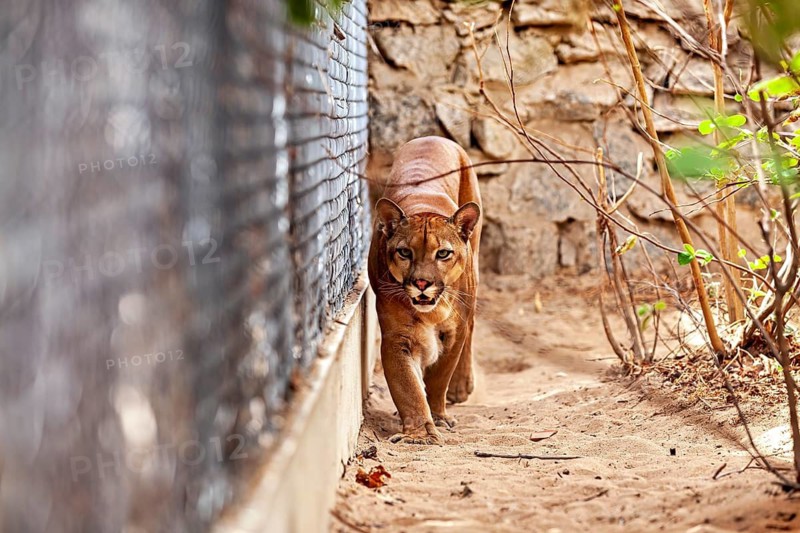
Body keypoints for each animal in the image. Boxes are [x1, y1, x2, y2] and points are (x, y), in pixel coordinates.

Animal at [368, 136, 482, 445]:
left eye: (443, 253)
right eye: (404, 252)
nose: (421, 283)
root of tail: (433, 137)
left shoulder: (454, 332)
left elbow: (439, 377)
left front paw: (438, 416)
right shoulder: (397, 337)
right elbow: (408, 387)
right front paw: (420, 433)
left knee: (472, 327)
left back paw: (461, 387)